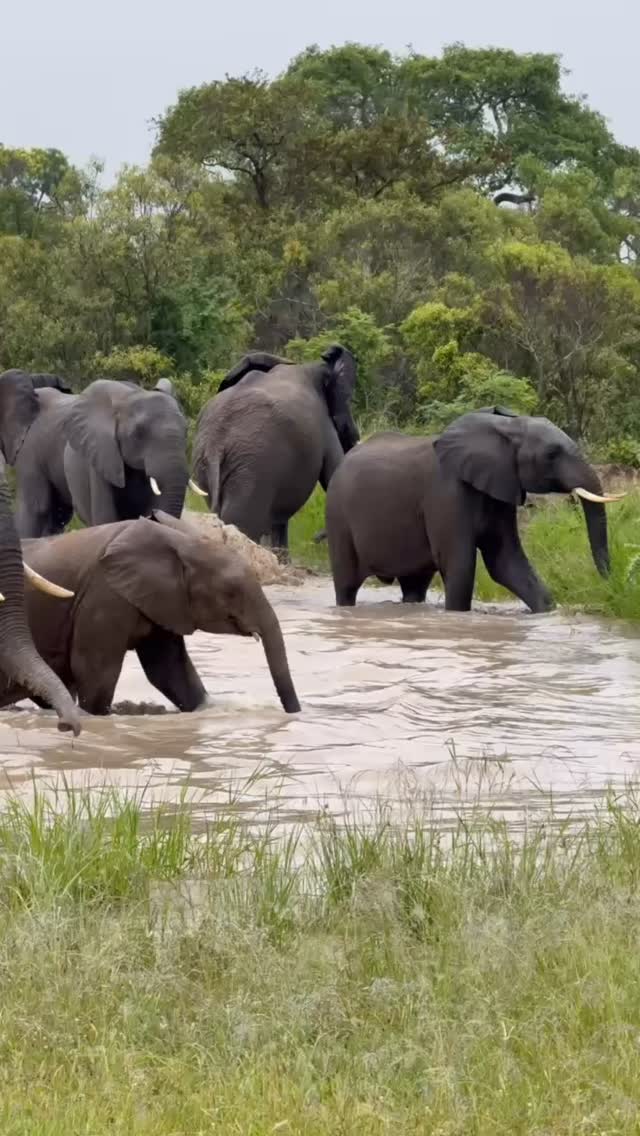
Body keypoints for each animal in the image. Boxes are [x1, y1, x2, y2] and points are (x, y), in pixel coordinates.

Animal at [11, 510, 301, 716]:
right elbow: (95, 671)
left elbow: (169, 670)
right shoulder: (104, 596)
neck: (181, 543)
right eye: (231, 591)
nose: (292, 714)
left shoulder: (164, 601)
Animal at [190, 345, 360, 551]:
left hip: (207, 465)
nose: (315, 538)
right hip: (253, 470)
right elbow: (333, 471)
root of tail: (216, 445)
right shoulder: (324, 425)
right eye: (348, 398)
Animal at [325, 407, 623, 611]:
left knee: (414, 586)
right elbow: (461, 564)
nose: (608, 585)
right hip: (338, 515)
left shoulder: (500, 488)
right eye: (551, 454)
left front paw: (547, 612)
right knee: (347, 585)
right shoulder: (447, 492)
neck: (507, 427)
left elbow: (506, 561)